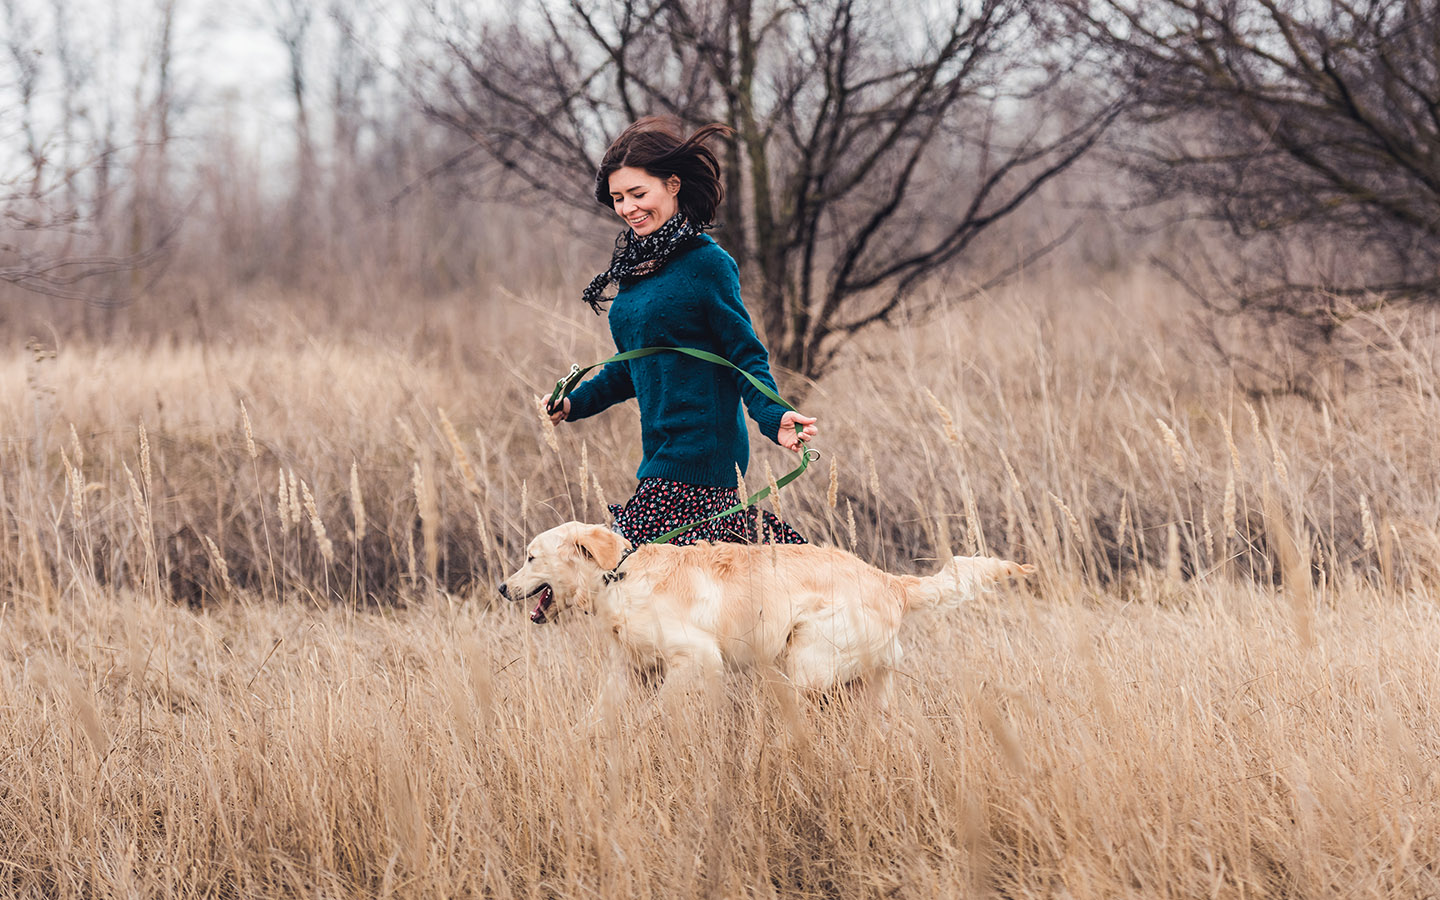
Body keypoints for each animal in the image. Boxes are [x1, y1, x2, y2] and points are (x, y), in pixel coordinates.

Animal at [498, 518, 1036, 702]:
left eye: (530, 557)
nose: (503, 588)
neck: (620, 577)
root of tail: (890, 582)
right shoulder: (628, 670)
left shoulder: (698, 659)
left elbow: (665, 709)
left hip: (805, 660)